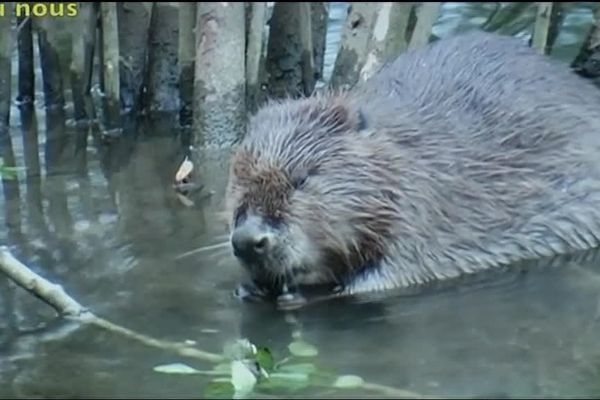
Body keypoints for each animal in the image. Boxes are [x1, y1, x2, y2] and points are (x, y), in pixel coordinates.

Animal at [221, 30, 600, 310]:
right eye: (237, 183)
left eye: (302, 178)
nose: (249, 240)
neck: (406, 156)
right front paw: (250, 288)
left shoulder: (424, 210)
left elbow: (400, 273)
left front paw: (301, 294)